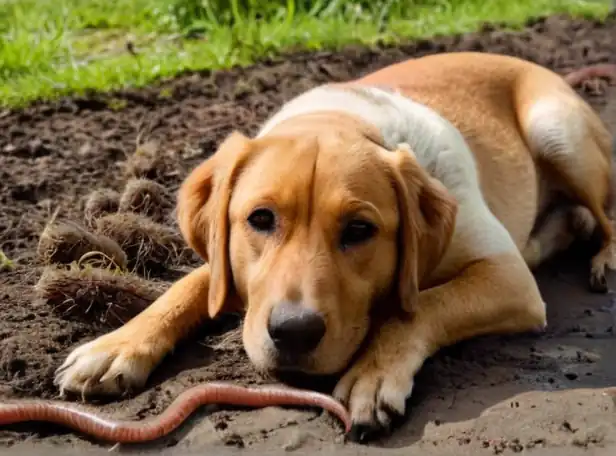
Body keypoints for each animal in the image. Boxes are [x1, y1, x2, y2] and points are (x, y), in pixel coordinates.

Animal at [54, 52, 616, 442]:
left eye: (360, 230)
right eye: (260, 219)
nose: (293, 332)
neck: (345, 120)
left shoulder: (508, 278)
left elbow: (421, 306)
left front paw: (374, 373)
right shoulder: (225, 266)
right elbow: (187, 287)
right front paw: (117, 345)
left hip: (555, 132)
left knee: (605, 216)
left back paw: (605, 259)